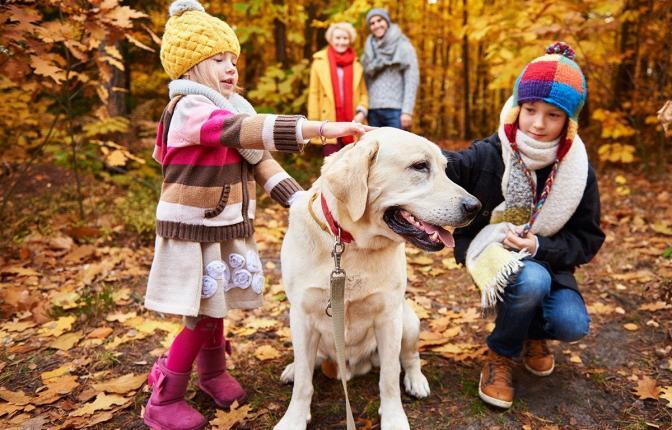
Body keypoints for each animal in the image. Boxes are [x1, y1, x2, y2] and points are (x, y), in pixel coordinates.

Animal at [276, 127, 480, 430]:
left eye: (445, 169)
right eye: (420, 166)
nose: (475, 206)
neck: (351, 245)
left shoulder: (389, 318)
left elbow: (389, 378)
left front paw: (394, 418)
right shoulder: (301, 315)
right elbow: (304, 380)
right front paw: (294, 418)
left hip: (409, 321)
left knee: (409, 357)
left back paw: (416, 380)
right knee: (308, 362)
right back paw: (292, 368)